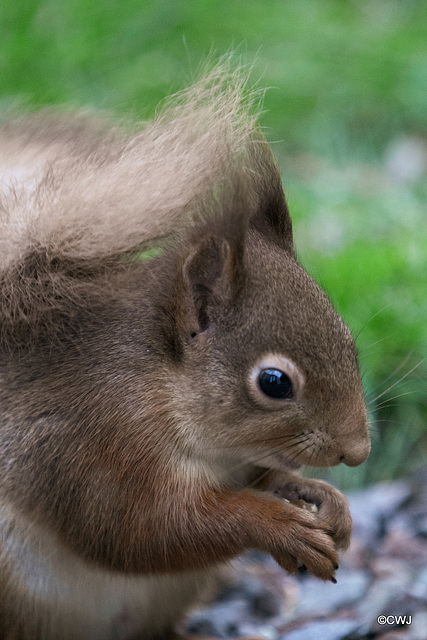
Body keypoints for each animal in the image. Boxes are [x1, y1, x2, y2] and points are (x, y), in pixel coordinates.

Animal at [0, 67, 372, 636]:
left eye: (349, 340)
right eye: (274, 382)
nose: (358, 451)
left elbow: (267, 479)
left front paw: (322, 498)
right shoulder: (97, 446)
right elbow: (147, 531)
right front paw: (278, 525)